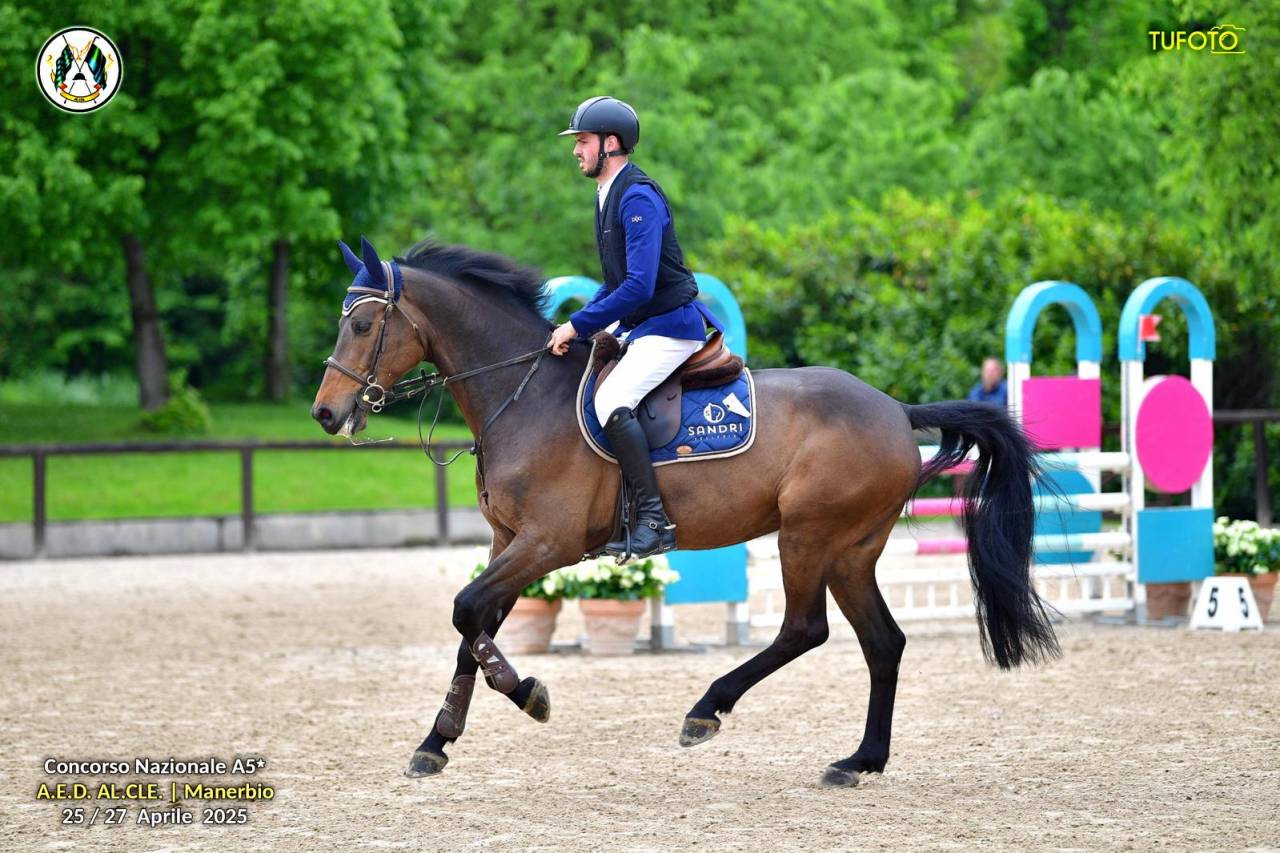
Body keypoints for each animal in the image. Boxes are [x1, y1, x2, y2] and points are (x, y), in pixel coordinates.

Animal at [311, 237, 1060, 787]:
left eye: (363, 323)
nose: (325, 414)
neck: (523, 394)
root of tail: (897, 411)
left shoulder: (548, 542)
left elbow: (468, 612)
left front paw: (528, 693)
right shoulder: (509, 541)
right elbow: (475, 625)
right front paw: (435, 742)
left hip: (808, 535)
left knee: (804, 628)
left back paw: (707, 711)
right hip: (852, 549)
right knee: (882, 642)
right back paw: (860, 760)